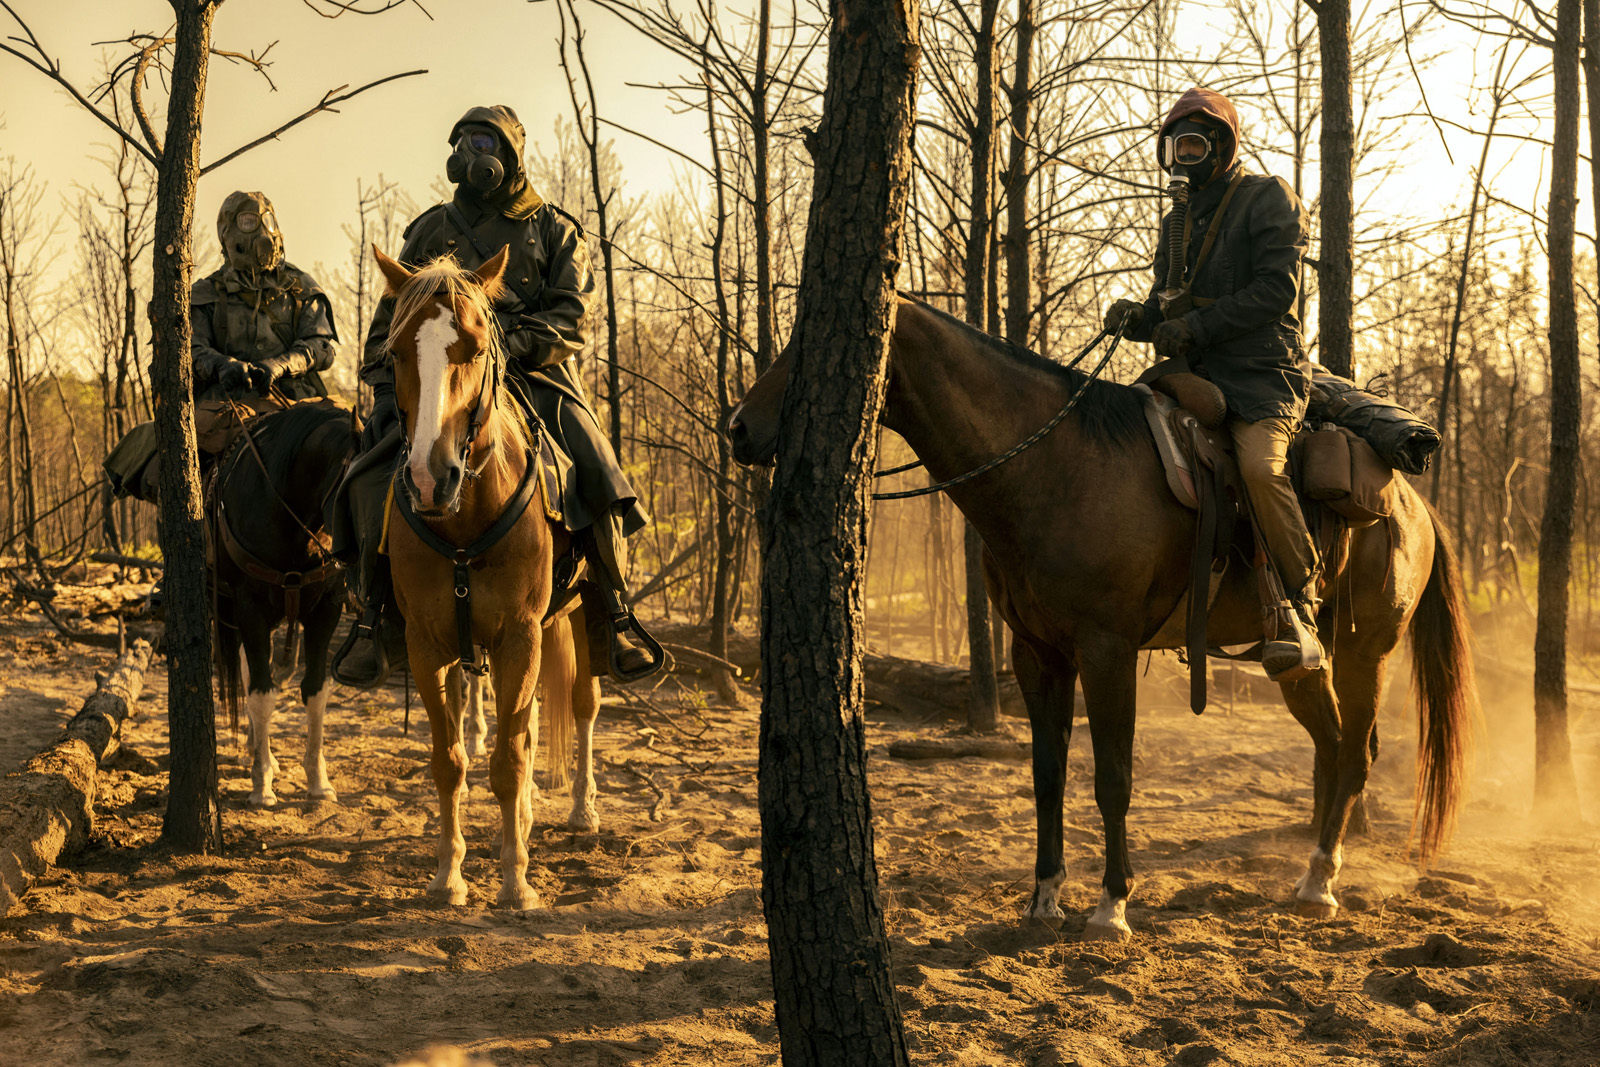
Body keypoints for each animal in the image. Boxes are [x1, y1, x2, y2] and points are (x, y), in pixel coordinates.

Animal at [212, 399, 360, 809]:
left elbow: (315, 691)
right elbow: (262, 693)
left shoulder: (325, 611)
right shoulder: (250, 610)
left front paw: (318, 781)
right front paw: (261, 784)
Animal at [371, 241, 601, 908]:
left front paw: (516, 880)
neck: (464, 523)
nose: (429, 479)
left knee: (582, 706)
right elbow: (451, 761)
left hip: (578, 617)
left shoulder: (521, 637)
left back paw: (581, 810)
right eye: (396, 353)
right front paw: (448, 876)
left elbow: (510, 761)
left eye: (475, 348)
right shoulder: (428, 645)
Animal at [726, 295, 1472, 940]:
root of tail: (1415, 503)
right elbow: (1047, 776)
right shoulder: (1039, 653)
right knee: (1331, 743)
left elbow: (1113, 777)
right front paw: (1044, 898)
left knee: (1355, 751)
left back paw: (1320, 882)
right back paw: (1315, 866)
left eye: (814, 342)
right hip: (1300, 665)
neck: (1054, 468)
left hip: (1367, 651)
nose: (737, 428)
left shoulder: (1107, 649)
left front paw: (1111, 905)